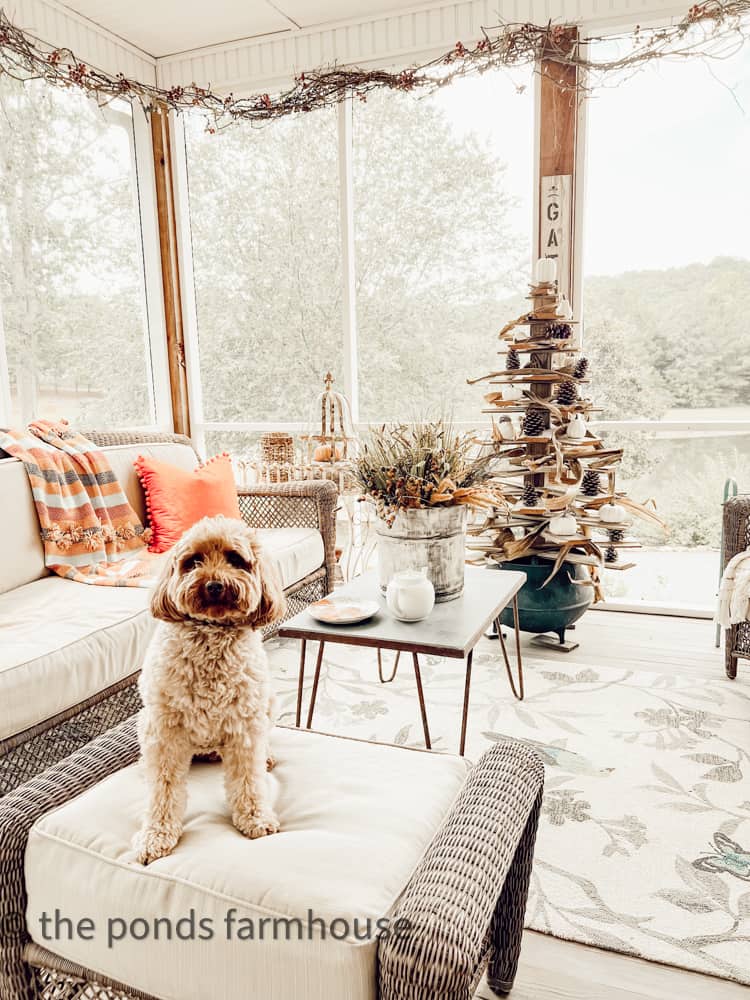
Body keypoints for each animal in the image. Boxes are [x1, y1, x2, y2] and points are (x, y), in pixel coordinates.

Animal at [134, 512, 286, 864]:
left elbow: (249, 781)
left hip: (268, 703)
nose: (214, 585)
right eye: (193, 562)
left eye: (235, 560)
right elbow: (162, 790)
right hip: (145, 721)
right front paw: (156, 836)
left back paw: (267, 756)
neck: (211, 635)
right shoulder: (163, 732)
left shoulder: (245, 728)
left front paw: (256, 818)